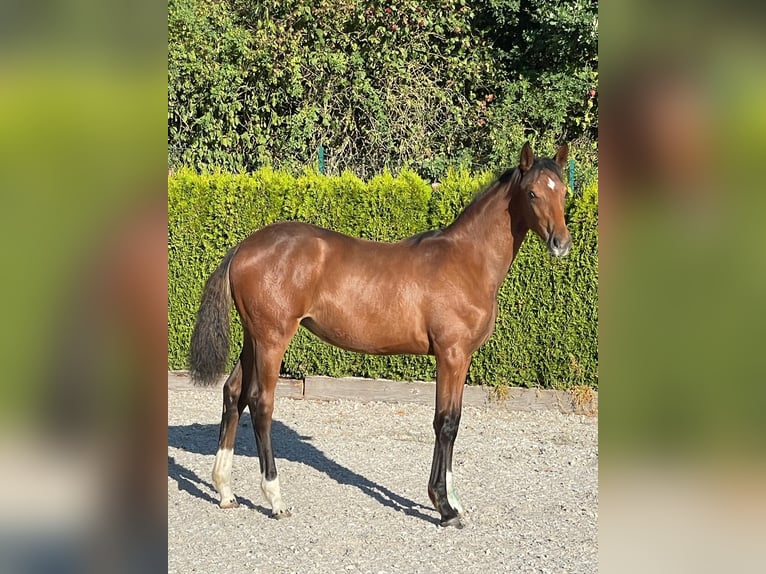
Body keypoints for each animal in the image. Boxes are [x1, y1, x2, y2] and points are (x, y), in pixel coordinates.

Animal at [188, 142, 571, 528]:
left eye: (564, 191)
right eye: (533, 193)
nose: (561, 243)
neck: (466, 261)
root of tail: (244, 248)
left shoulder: (461, 358)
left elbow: (454, 420)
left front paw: (453, 502)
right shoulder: (451, 354)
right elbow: (445, 423)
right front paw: (444, 507)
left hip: (253, 339)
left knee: (233, 393)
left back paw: (225, 491)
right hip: (272, 339)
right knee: (260, 402)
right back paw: (275, 499)